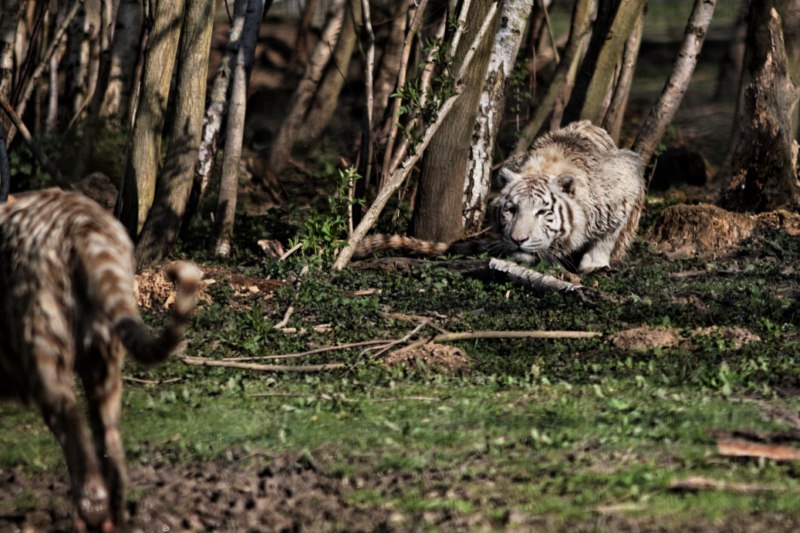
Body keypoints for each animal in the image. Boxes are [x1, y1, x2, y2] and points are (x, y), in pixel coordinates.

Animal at [356, 120, 644, 270]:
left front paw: (594, 263)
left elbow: (609, 235)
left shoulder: (626, 181)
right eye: (511, 209)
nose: (518, 240)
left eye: (543, 212)